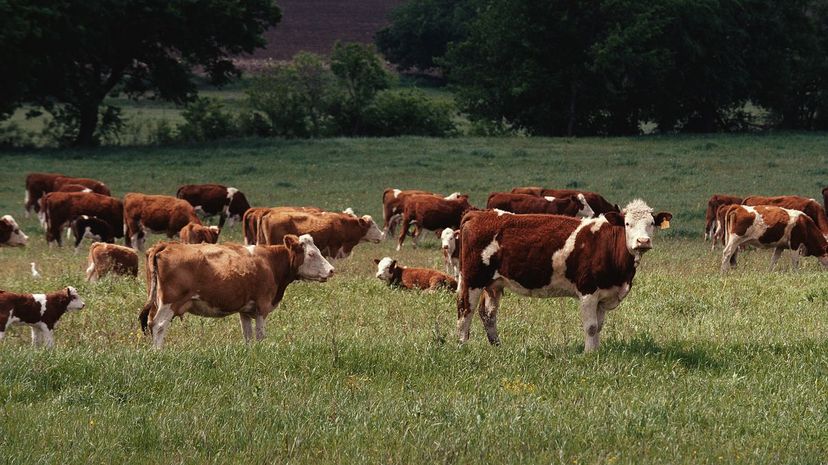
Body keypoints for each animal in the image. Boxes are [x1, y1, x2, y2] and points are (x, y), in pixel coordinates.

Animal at [138, 234, 334, 348]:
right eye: (311, 254)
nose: (331, 270)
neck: (270, 262)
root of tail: (165, 245)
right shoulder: (262, 306)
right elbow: (260, 335)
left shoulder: (245, 310)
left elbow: (247, 335)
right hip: (169, 303)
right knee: (159, 325)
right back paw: (158, 352)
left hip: (156, 301)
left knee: (150, 322)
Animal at [457, 200, 672, 351]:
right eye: (627, 224)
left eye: (652, 223)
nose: (643, 241)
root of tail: (478, 213)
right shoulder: (588, 290)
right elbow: (591, 326)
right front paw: (588, 354)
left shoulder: (604, 295)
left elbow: (599, 326)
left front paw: (596, 351)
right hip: (472, 279)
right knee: (465, 310)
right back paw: (462, 347)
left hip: (493, 284)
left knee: (488, 314)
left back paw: (497, 346)